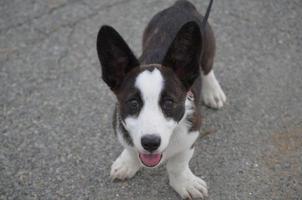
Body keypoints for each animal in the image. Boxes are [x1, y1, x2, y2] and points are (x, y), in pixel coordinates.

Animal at [95, 0, 225, 198]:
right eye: (133, 103)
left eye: (169, 103)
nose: (150, 143)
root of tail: (181, 5)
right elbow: (131, 149)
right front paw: (128, 162)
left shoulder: (191, 136)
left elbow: (178, 164)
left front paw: (184, 183)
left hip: (208, 46)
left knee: (207, 68)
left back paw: (213, 92)